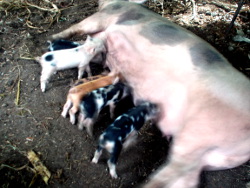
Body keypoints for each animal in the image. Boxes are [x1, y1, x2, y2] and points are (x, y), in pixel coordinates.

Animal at [51, 0, 250, 187]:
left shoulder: (107, 14)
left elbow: (78, 27)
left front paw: (54, 36)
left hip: (196, 135)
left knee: (164, 176)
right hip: (202, 156)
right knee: (185, 180)